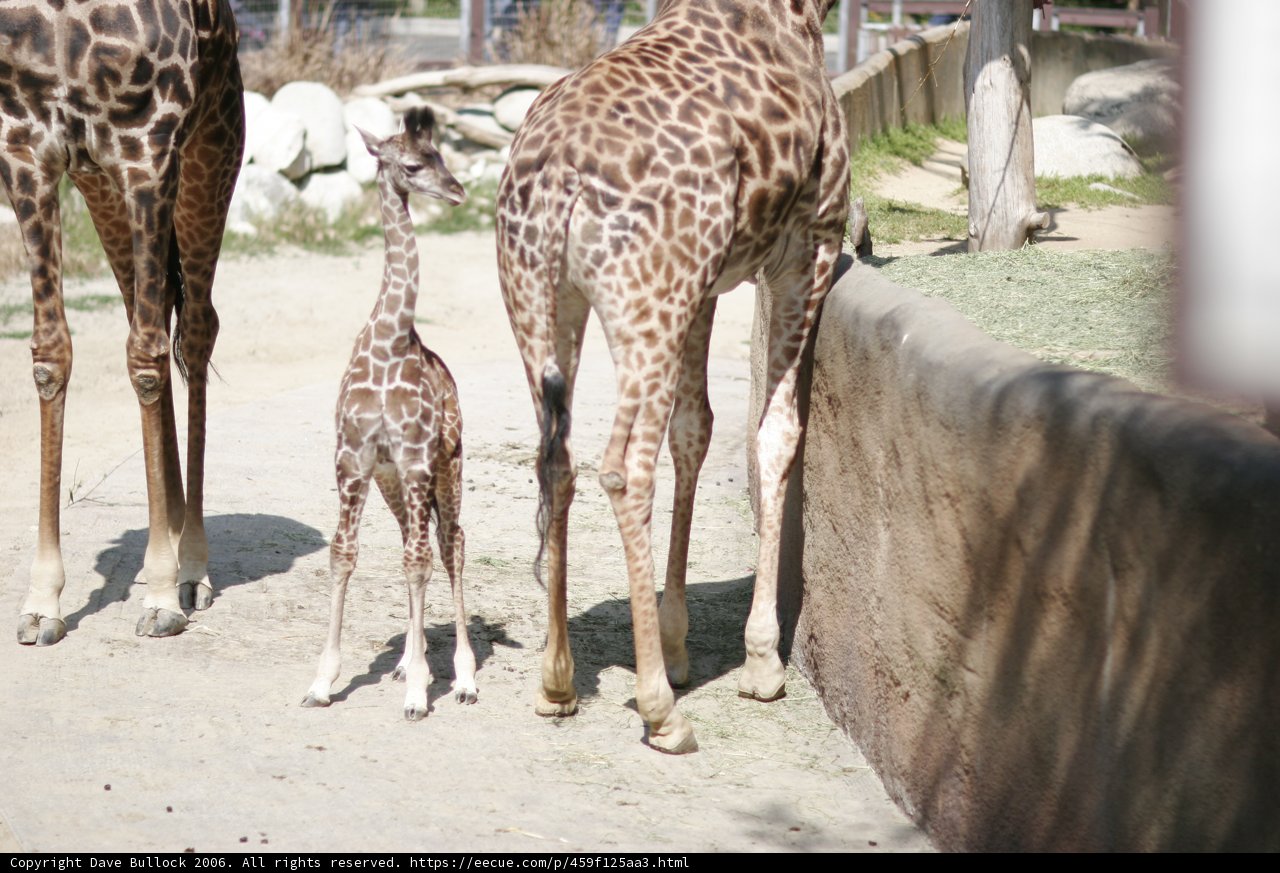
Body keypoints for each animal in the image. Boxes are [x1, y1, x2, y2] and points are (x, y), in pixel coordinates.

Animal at [0, 0, 244, 645]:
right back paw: (172, 547)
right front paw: (42, 603)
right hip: (99, 185)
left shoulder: (147, 150)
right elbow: (51, 353)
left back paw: (191, 568)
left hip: (211, 152)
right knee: (150, 320)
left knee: (193, 331)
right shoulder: (28, 151)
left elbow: (148, 358)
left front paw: (160, 594)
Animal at [302, 108, 478, 721]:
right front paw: (322, 681)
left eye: (442, 155)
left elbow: (422, 560)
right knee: (413, 541)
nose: (458, 191)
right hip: (393, 482)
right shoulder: (353, 461)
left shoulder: (418, 459)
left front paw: (421, 693)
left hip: (447, 466)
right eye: (412, 165)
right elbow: (342, 555)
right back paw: (407, 659)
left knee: (450, 545)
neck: (389, 342)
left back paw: (463, 677)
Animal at [496, 0, 850, 753]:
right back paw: (661, 710)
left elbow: (696, 430)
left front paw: (679, 642)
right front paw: (761, 662)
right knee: (624, 468)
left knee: (557, 460)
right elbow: (776, 432)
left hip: (543, 302)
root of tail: (559, 177)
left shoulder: (707, 283)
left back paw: (557, 682)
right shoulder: (808, 244)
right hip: (647, 302)